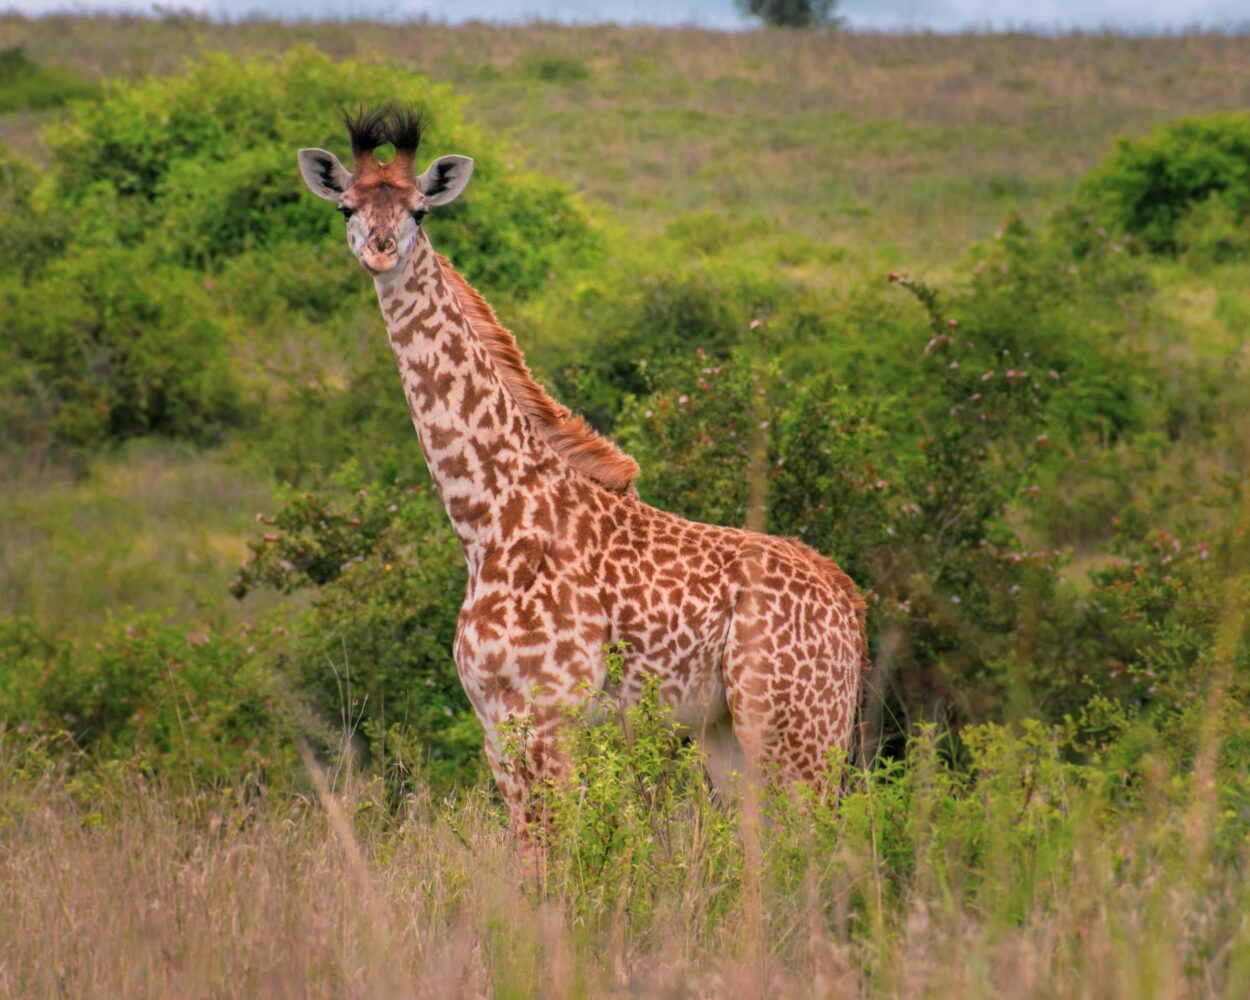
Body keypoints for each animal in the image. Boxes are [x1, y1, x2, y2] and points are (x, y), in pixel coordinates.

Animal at [298, 103, 870, 835]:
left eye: (420, 211)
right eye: (346, 205)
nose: (378, 248)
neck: (487, 515)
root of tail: (850, 603)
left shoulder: (551, 713)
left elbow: (561, 849)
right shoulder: (495, 720)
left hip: (798, 727)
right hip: (729, 734)